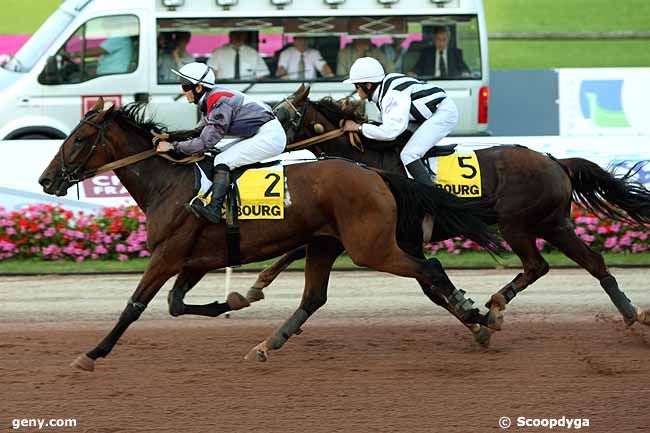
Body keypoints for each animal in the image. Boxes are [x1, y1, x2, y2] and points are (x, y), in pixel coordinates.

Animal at [38, 97, 498, 368]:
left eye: (78, 139)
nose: (46, 179)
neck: (168, 185)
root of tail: (374, 173)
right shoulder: (197, 258)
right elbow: (176, 304)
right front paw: (236, 299)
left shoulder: (168, 255)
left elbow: (135, 306)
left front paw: (92, 353)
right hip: (326, 244)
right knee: (316, 297)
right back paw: (266, 344)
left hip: (371, 247)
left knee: (430, 268)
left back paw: (480, 316)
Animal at [248, 85, 648, 334]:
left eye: (281, 115)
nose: (257, 137)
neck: (368, 159)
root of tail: (556, 161)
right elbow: (298, 248)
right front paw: (257, 284)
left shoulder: (399, 236)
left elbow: (431, 284)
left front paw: (475, 320)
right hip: (554, 223)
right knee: (593, 262)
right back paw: (632, 315)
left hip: (516, 223)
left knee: (538, 265)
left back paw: (497, 302)